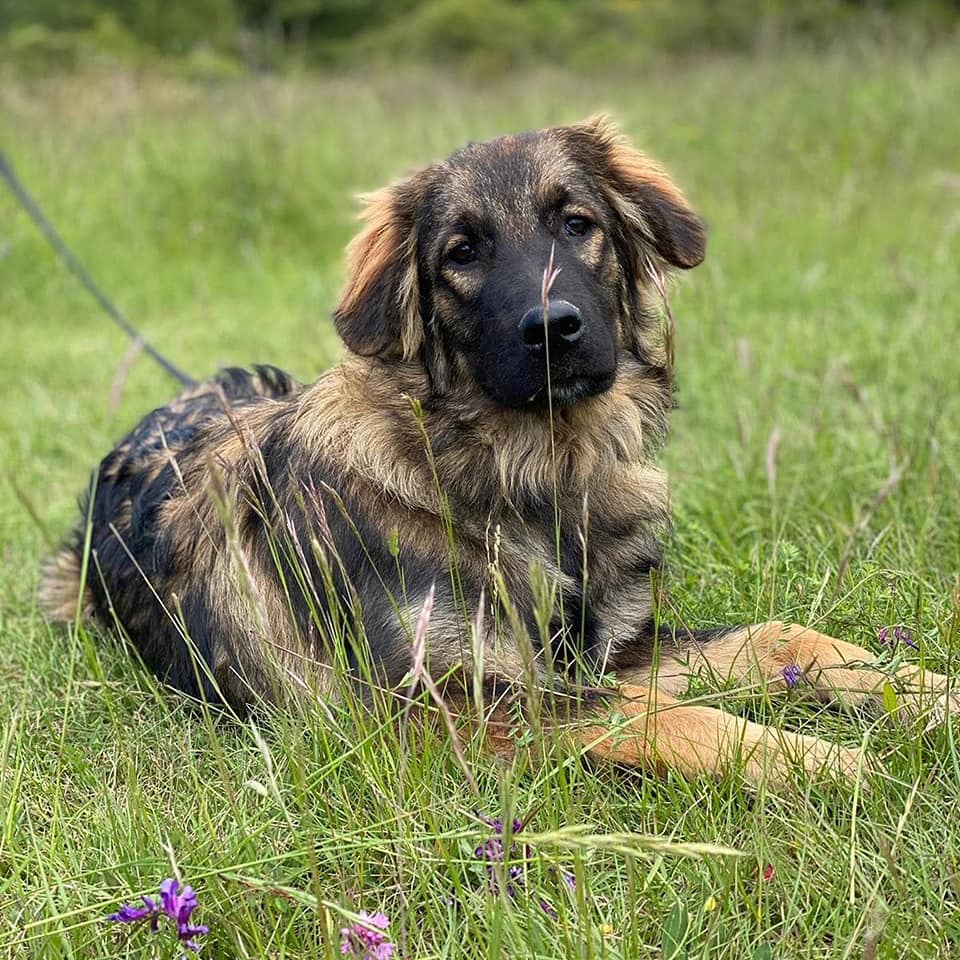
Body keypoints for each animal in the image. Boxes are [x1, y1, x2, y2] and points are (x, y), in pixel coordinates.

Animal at [41, 116, 957, 786]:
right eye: (461, 253)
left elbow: (780, 638)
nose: (553, 330)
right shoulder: (446, 709)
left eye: (578, 224)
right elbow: (666, 716)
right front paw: (833, 762)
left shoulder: (612, 651)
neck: (530, 473)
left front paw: (926, 695)